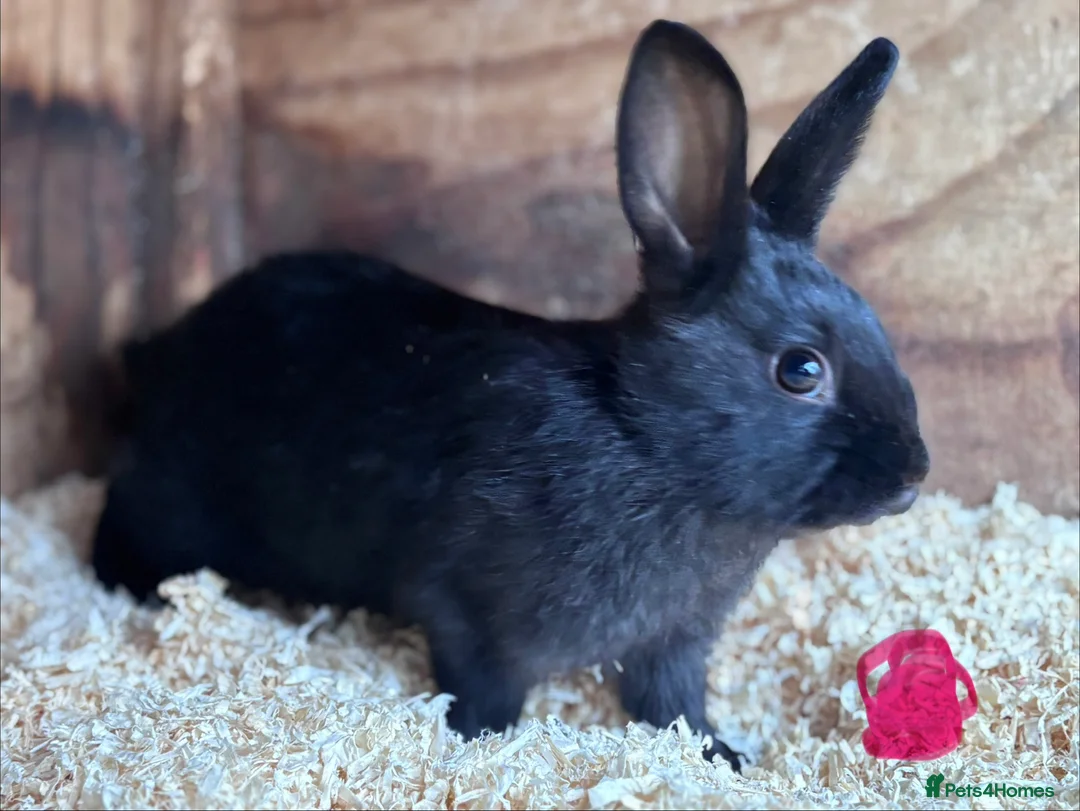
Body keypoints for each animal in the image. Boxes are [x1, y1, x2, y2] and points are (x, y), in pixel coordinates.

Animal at [90, 20, 929, 773]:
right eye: (801, 370)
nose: (913, 474)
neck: (647, 444)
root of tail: (156, 352)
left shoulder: (673, 642)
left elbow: (674, 708)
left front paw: (723, 756)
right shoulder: (471, 616)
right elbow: (486, 694)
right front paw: (481, 748)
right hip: (177, 502)